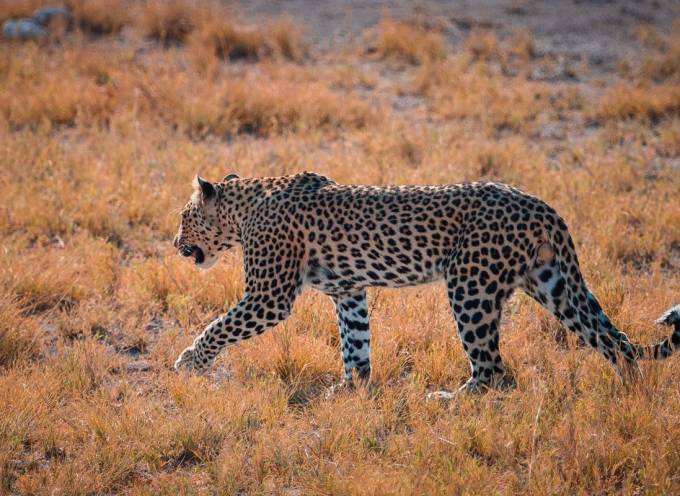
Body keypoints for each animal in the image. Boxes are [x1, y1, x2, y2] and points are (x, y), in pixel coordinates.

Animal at [172, 172, 680, 395]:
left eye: (183, 217)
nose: (176, 243)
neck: (245, 209)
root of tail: (542, 206)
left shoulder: (269, 296)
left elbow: (219, 325)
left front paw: (188, 362)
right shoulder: (349, 290)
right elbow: (355, 342)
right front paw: (352, 389)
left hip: (470, 286)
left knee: (494, 370)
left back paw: (453, 400)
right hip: (552, 282)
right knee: (613, 339)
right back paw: (628, 394)